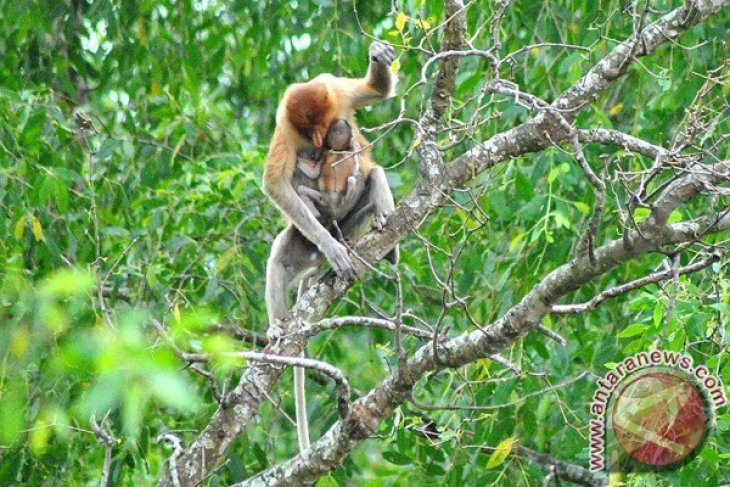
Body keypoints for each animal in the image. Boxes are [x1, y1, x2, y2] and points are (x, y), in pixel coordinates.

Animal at [264, 40, 398, 452]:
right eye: (309, 130)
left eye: (323, 125)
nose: (322, 141)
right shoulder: (285, 129)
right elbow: (275, 183)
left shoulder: (335, 90)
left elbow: (374, 92)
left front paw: (379, 54)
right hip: (302, 238)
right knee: (280, 257)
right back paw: (279, 327)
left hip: (353, 223)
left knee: (375, 175)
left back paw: (384, 238)